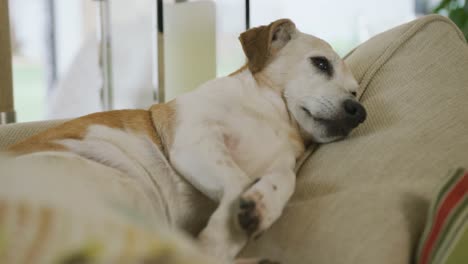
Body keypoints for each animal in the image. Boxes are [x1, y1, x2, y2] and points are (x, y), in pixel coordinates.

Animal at [5, 19, 368, 264]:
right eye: (320, 63)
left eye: (354, 91)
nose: (359, 112)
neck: (273, 118)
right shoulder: (195, 141)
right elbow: (238, 179)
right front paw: (224, 234)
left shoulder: (281, 164)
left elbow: (285, 180)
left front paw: (261, 206)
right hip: (126, 186)